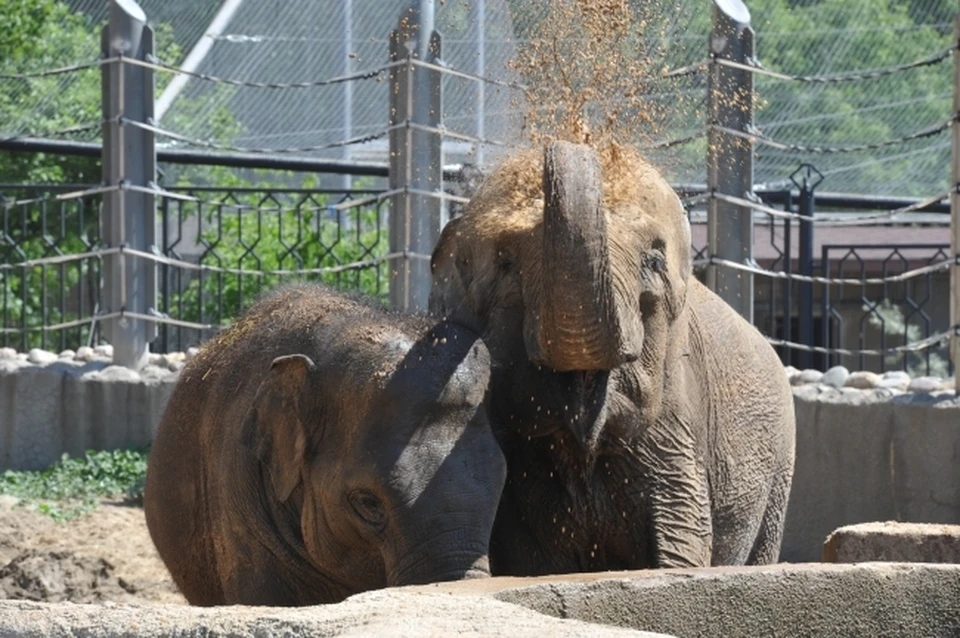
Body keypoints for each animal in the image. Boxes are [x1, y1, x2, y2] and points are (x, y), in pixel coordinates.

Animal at [432, 141, 800, 576]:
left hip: (779, 474)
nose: (564, 138)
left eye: (653, 263)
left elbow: (682, 533)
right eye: (505, 263)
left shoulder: (676, 418)